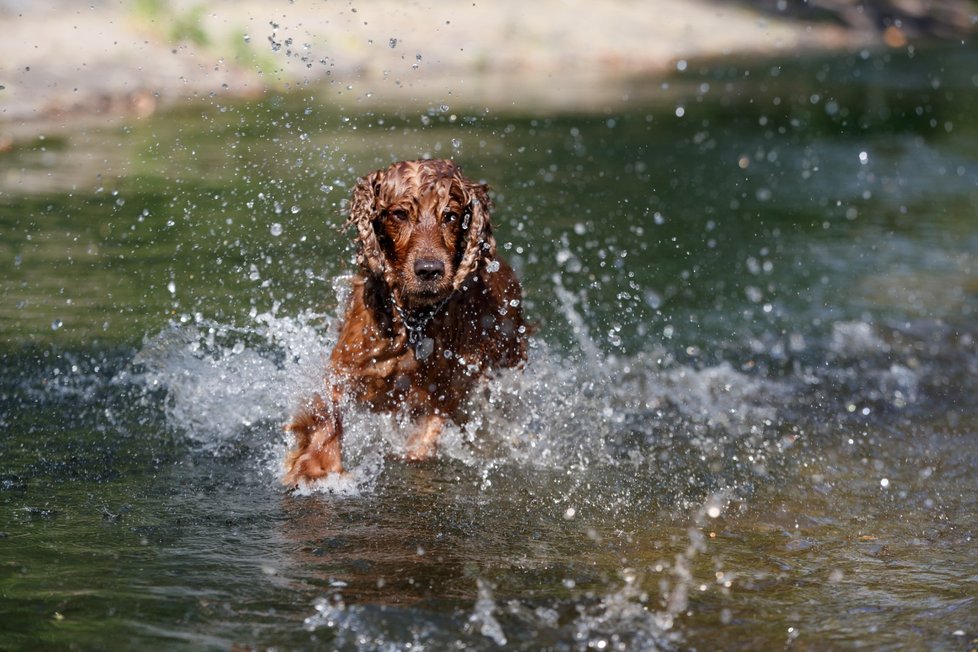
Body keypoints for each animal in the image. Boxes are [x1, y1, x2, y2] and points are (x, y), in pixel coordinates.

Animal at [282, 157, 528, 484]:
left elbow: (427, 432)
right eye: (399, 214)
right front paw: (318, 464)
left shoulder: (448, 387)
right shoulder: (350, 362)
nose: (429, 270)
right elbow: (329, 407)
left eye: (450, 216)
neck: (415, 322)